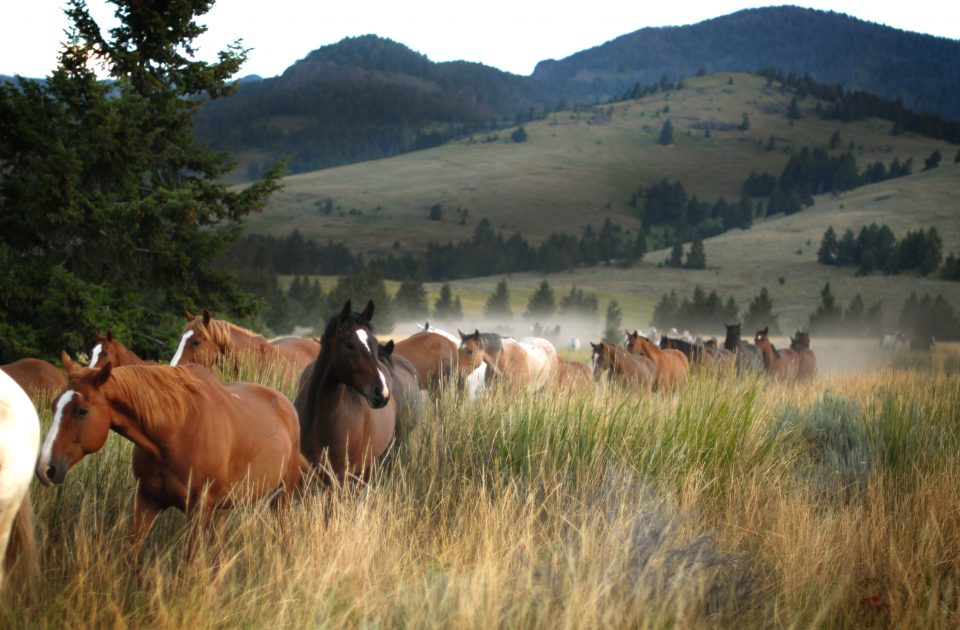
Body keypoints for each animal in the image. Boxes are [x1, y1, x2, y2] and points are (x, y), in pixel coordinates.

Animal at [37, 356, 302, 568]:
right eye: (54, 405)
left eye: (82, 411)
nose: (45, 468)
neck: (176, 430)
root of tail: (284, 403)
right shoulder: (147, 499)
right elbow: (134, 554)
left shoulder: (198, 509)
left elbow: (189, 563)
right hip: (222, 509)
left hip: (282, 497)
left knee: (283, 538)